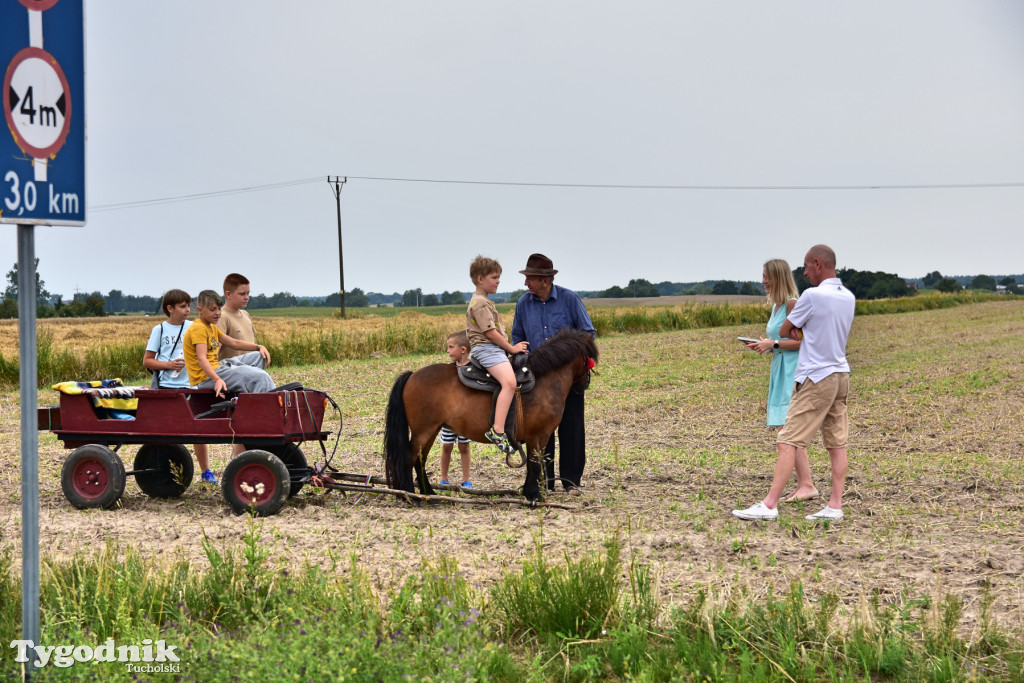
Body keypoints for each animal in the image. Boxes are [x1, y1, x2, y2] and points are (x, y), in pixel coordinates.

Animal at [385, 327, 598, 499]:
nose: (583, 385)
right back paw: (411, 495)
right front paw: (534, 496)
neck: (543, 379)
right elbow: (535, 463)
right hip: (424, 430)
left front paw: (529, 493)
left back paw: (428, 493)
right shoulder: (538, 436)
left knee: (420, 459)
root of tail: (412, 375)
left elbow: (533, 464)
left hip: (431, 430)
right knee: (410, 458)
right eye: (590, 358)